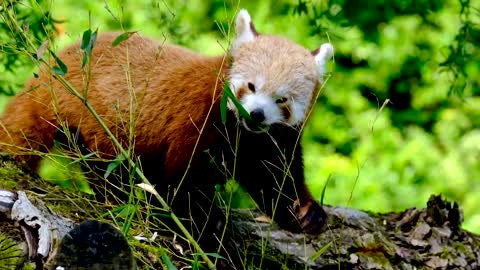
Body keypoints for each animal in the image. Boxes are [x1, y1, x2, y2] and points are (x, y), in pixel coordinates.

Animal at [0, 8, 334, 249]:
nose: (256, 115)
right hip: (92, 121)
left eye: (282, 99)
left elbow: (275, 179)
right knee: (110, 171)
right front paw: (207, 225)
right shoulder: (198, 123)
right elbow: (184, 183)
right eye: (251, 86)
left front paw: (306, 212)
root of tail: (50, 71)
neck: (240, 134)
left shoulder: (269, 141)